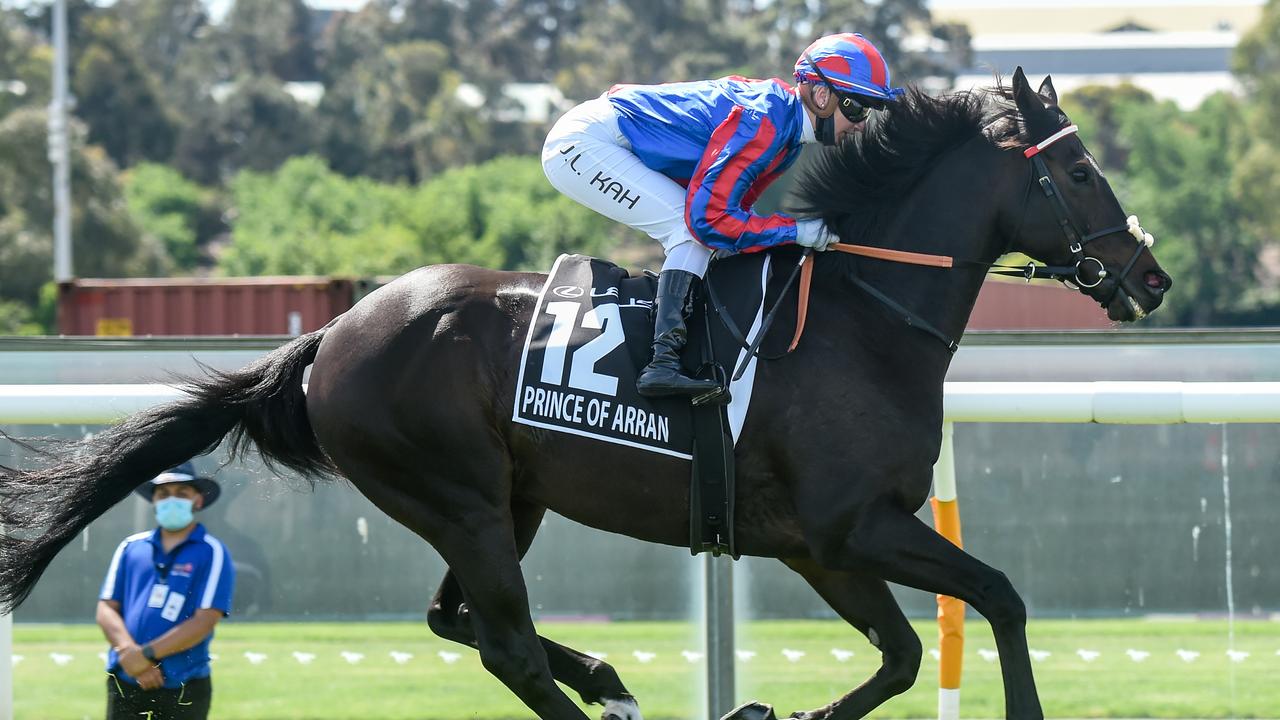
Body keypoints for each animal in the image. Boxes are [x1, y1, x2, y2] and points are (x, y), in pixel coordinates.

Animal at [2, 68, 1172, 717]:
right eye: (1077, 173)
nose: (1150, 276)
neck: (862, 316)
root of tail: (334, 330)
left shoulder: (819, 543)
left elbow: (900, 654)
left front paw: (774, 714)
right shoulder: (853, 526)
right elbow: (1000, 597)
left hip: (499, 503)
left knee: (457, 622)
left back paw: (605, 677)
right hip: (460, 500)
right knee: (506, 644)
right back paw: (588, 686)